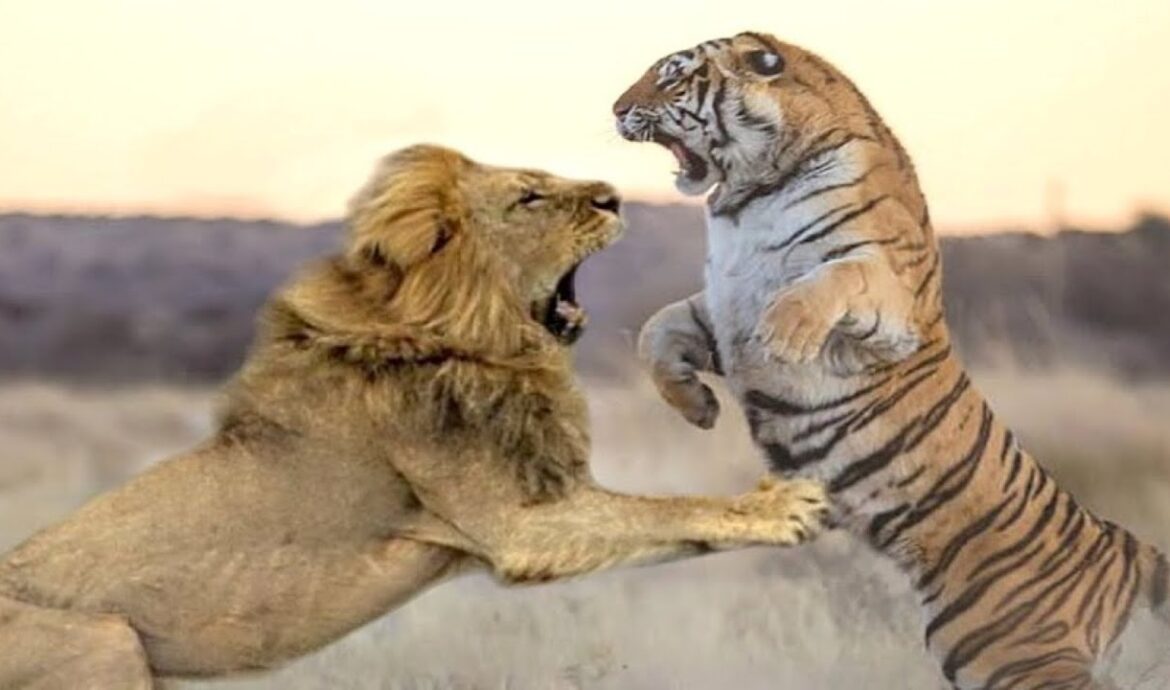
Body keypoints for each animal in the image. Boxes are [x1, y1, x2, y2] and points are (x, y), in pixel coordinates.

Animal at [0, 144, 829, 689]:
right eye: (529, 198)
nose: (613, 196)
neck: (464, 334)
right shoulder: (518, 527)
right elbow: (663, 511)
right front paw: (779, 505)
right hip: (106, 644)